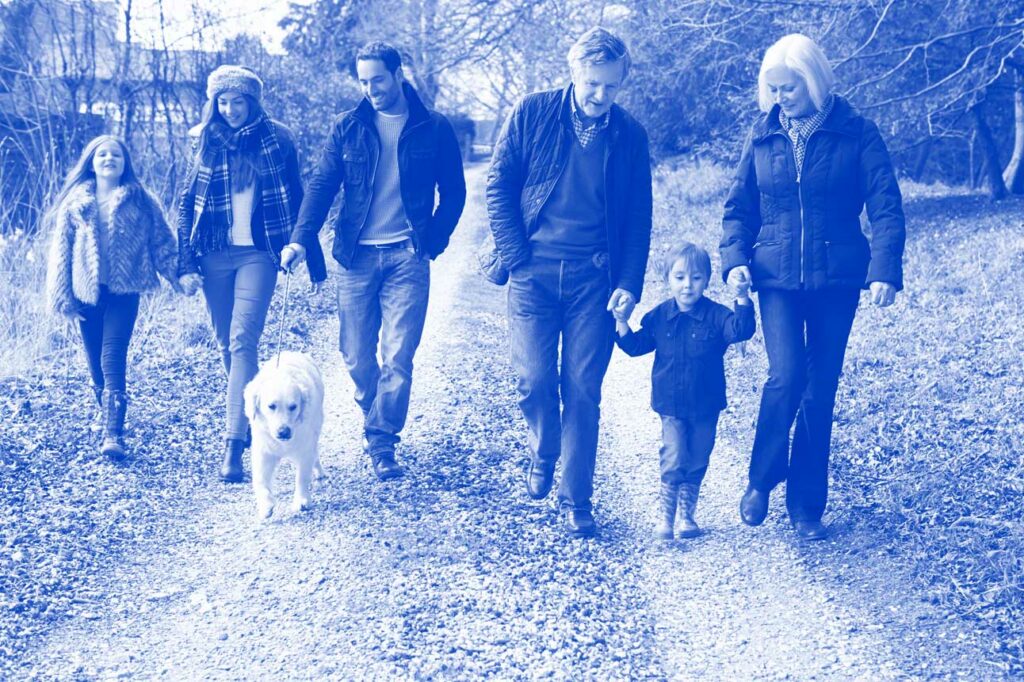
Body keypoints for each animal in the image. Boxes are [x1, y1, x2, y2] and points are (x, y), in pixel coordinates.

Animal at [243, 350, 323, 516]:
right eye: (271, 406)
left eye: (293, 406)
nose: (283, 432)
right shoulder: (263, 450)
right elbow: (260, 479)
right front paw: (266, 504)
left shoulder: (305, 448)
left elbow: (302, 477)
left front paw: (301, 500)